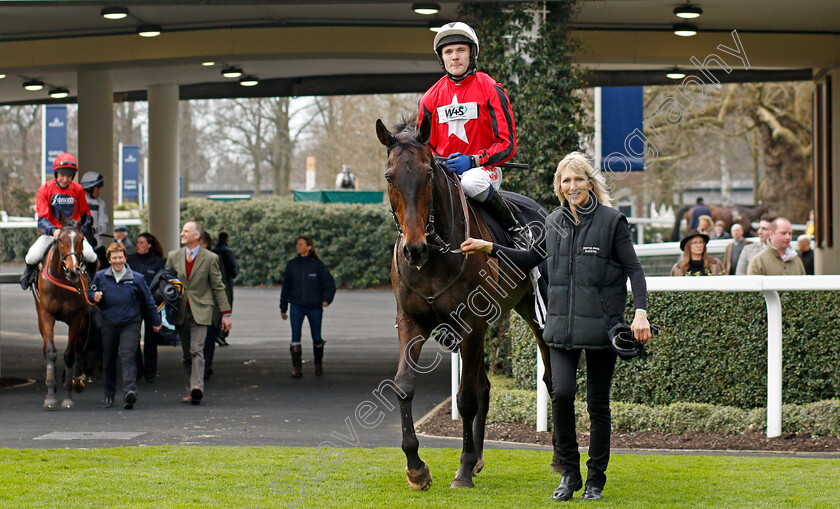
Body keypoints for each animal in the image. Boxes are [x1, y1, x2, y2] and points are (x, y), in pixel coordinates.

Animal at [31, 215, 93, 408]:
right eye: (60, 240)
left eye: (81, 239)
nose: (73, 271)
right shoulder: (46, 315)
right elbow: (51, 351)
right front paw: (51, 394)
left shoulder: (77, 317)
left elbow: (69, 354)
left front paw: (69, 394)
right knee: (46, 348)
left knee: (79, 345)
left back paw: (78, 379)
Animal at [376, 117, 548, 490]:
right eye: (389, 176)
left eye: (428, 174)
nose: (414, 249)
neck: (435, 255)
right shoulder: (411, 321)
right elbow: (404, 386)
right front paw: (416, 467)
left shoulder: (471, 322)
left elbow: (466, 397)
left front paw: (464, 468)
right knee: (485, 385)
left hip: (533, 313)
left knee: (551, 377)